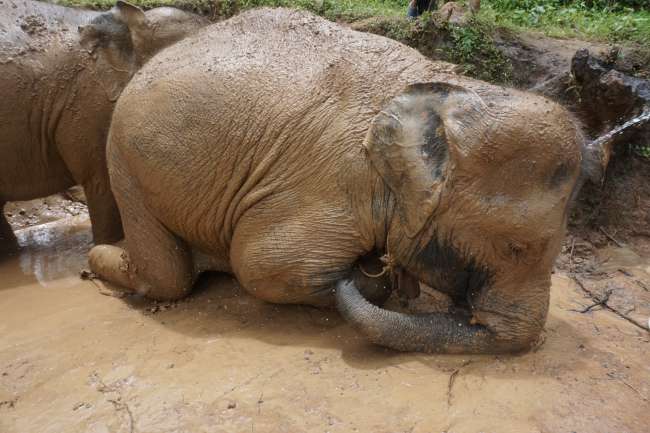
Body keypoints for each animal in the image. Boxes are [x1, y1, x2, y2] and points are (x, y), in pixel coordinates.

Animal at [87, 8, 588, 352]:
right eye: (515, 248)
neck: (446, 91)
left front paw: (389, 275)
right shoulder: (332, 183)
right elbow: (262, 263)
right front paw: (375, 279)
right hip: (124, 157)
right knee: (168, 277)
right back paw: (99, 259)